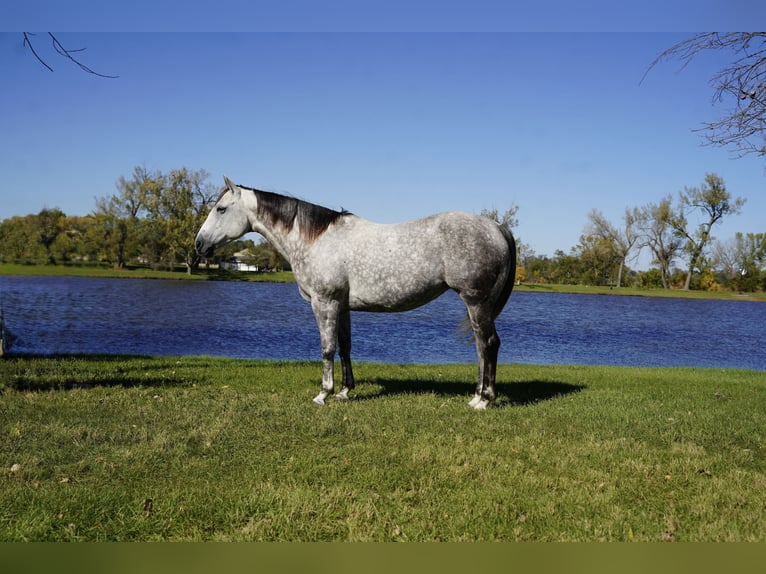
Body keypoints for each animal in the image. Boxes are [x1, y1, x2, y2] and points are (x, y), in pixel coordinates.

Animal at [195, 177, 516, 409]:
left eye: (221, 209)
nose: (199, 244)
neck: (316, 240)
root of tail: (496, 227)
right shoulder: (342, 306)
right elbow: (345, 347)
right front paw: (345, 391)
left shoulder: (324, 303)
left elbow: (327, 349)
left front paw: (323, 394)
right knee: (481, 346)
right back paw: (476, 395)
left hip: (476, 300)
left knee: (488, 344)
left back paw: (484, 400)